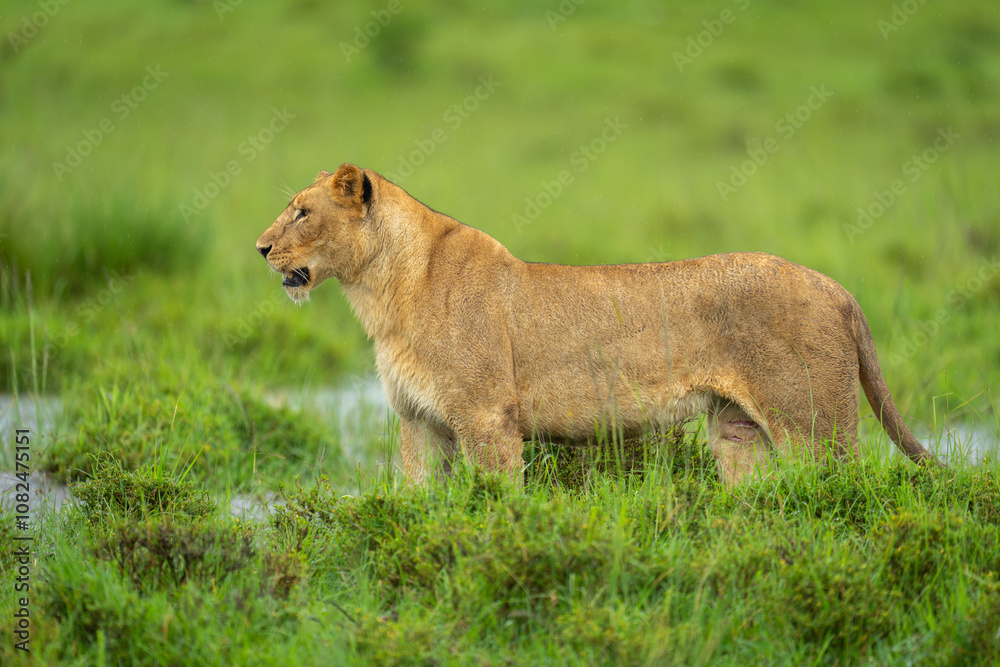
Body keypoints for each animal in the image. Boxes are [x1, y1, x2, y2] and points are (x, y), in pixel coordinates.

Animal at [256, 163, 938, 486]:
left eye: (302, 213)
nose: (260, 249)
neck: (382, 293)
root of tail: (838, 287)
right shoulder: (419, 423)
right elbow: (420, 504)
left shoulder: (487, 420)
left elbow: (495, 509)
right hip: (738, 434)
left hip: (816, 429)